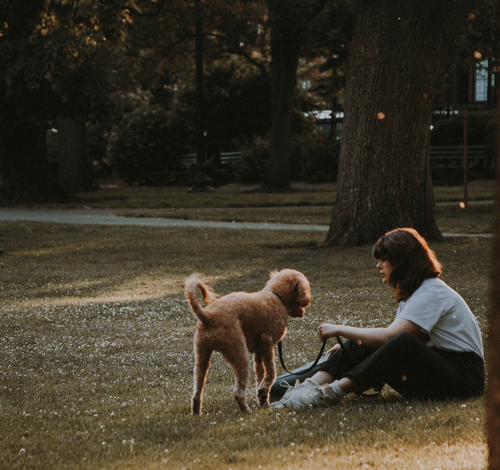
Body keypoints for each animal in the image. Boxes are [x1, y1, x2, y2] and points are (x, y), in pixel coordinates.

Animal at [186, 268, 310, 414]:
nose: (307, 301)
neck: (277, 297)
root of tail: (208, 316)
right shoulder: (267, 342)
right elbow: (271, 372)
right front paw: (263, 392)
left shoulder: (258, 351)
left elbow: (260, 376)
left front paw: (263, 399)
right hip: (240, 354)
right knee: (238, 393)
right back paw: (247, 411)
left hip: (202, 357)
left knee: (196, 393)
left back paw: (196, 413)